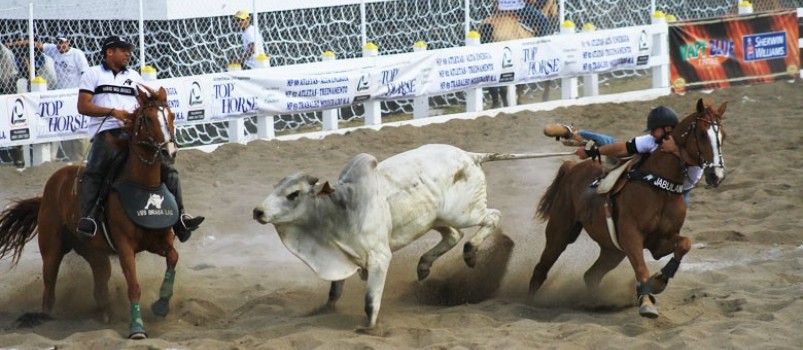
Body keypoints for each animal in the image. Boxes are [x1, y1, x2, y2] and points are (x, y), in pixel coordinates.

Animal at [0, 85, 181, 340]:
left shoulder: (160, 240)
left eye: (171, 115)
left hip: (95, 253)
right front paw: (137, 328)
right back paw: (45, 321)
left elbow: (173, 258)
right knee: (49, 291)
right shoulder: (125, 247)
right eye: (147, 118)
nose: (168, 152)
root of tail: (48, 191)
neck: (143, 184)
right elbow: (133, 286)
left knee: (100, 287)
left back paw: (104, 314)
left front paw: (162, 304)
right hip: (52, 250)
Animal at [254, 143, 568, 328]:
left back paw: (470, 253)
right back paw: (424, 265)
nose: (258, 211)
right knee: (452, 235)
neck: (339, 208)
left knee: (490, 218)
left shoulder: (379, 257)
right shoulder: (343, 256)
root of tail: (471, 156)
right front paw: (324, 310)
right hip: (435, 219)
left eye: (293, 194)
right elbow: (334, 291)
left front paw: (368, 328)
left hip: (463, 213)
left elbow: (371, 300)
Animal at [532, 98, 728, 318]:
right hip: (560, 232)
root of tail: (572, 167)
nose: (717, 176)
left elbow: (684, 244)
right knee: (541, 268)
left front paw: (659, 280)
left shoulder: (659, 242)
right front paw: (647, 301)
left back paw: (595, 301)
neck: (660, 186)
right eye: (702, 134)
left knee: (591, 275)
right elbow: (641, 268)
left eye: (723, 135)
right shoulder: (630, 235)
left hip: (612, 250)